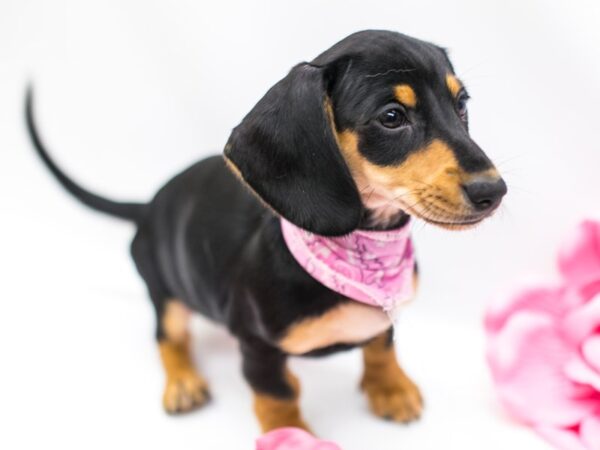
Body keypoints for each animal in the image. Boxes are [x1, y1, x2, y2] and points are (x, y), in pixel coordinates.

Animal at [27, 29, 506, 430]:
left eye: (461, 104)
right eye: (391, 116)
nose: (494, 191)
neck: (362, 249)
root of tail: (148, 207)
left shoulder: (384, 315)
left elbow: (381, 346)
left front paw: (390, 388)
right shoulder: (258, 347)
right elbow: (277, 395)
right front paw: (288, 434)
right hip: (164, 293)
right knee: (168, 336)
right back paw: (182, 382)